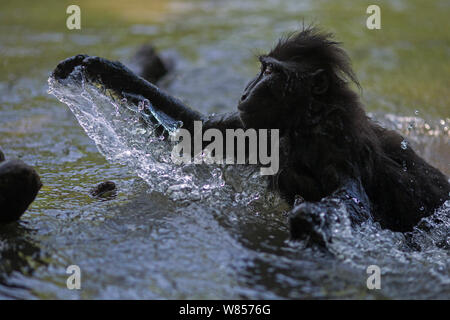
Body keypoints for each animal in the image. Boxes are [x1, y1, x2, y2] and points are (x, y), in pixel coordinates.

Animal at [53, 26, 450, 240]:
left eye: (271, 72)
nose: (246, 90)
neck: (302, 124)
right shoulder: (253, 126)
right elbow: (198, 130)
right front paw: (101, 67)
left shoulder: (337, 146)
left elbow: (353, 200)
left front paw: (307, 219)